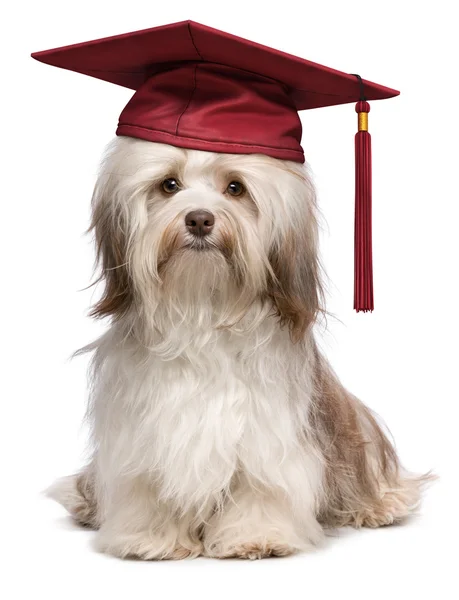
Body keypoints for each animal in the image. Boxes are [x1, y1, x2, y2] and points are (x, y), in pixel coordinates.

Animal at [48, 138, 426, 560]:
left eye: (235, 188)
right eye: (168, 184)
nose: (199, 220)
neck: (202, 308)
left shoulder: (268, 434)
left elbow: (260, 484)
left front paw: (257, 536)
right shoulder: (141, 431)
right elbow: (148, 484)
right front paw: (150, 537)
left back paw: (381, 505)